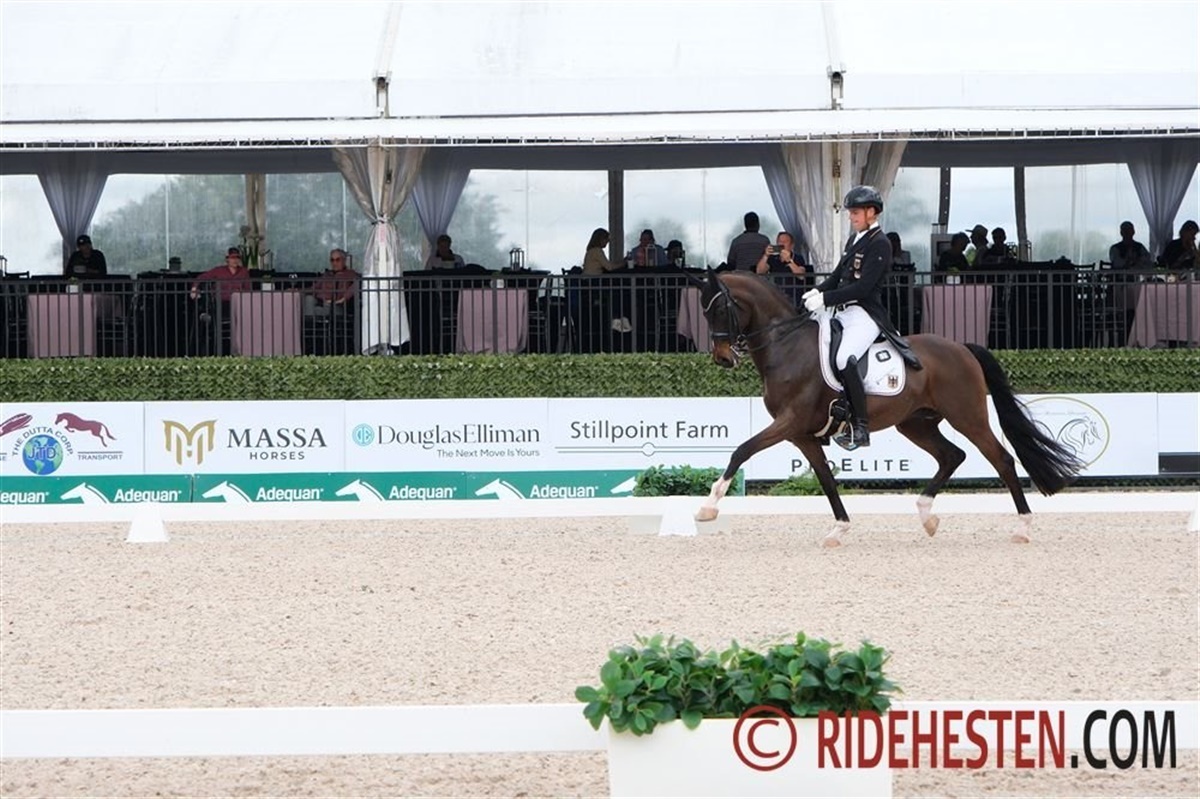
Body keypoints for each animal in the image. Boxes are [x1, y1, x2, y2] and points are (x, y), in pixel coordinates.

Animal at [694, 270, 1081, 546]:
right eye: (704, 311)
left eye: (720, 308)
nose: (723, 358)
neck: (786, 346)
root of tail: (962, 348)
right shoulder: (802, 435)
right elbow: (826, 479)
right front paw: (839, 530)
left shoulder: (790, 422)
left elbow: (742, 450)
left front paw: (708, 507)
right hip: (915, 424)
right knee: (952, 456)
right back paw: (927, 516)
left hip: (967, 417)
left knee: (1001, 459)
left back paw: (1023, 528)